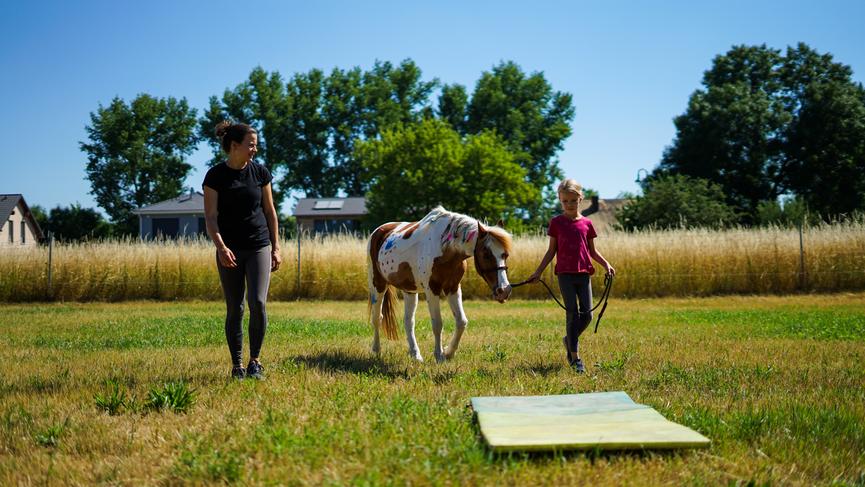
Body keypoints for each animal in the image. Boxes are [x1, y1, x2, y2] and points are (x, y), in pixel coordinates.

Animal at [366, 206, 513, 362]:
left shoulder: (453, 287)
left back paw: (415, 354)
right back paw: (376, 350)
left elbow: (461, 321)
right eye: (486, 254)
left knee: (408, 321)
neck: (445, 248)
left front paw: (449, 352)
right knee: (377, 318)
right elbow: (437, 324)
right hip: (378, 285)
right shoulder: (432, 289)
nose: (504, 290)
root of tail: (379, 231)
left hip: (410, 291)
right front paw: (439, 355)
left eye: (505, 254)